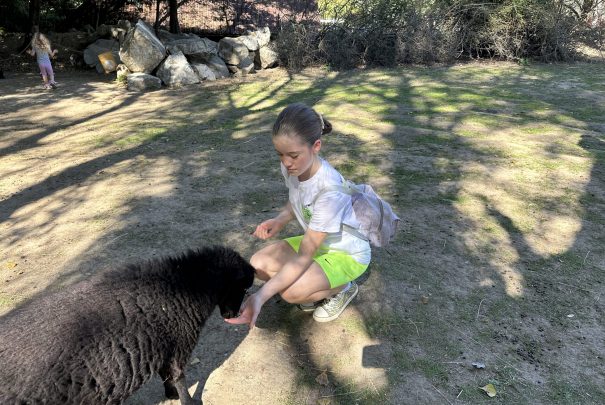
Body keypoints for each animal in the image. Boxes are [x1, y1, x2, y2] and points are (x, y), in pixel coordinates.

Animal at [0, 245, 255, 405]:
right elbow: (179, 379)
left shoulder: (164, 348)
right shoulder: (179, 347)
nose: (232, 314)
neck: (185, 285)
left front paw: (170, 395)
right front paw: (187, 401)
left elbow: (166, 376)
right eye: (243, 287)